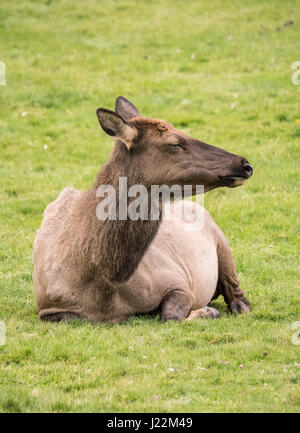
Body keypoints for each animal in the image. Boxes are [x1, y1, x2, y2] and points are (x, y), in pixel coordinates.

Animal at [32, 96, 253, 322]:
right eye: (175, 143)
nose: (244, 164)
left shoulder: (177, 280)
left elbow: (171, 315)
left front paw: (206, 311)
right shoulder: (49, 307)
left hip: (221, 242)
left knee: (238, 296)